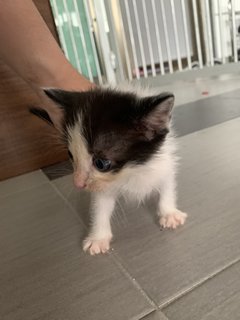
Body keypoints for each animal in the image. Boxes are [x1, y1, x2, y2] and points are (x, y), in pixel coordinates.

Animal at [37, 85, 187, 255]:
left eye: (101, 163)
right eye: (70, 155)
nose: (78, 184)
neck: (131, 169)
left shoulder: (164, 161)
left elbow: (167, 185)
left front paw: (169, 213)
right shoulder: (102, 186)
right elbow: (100, 206)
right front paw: (98, 238)